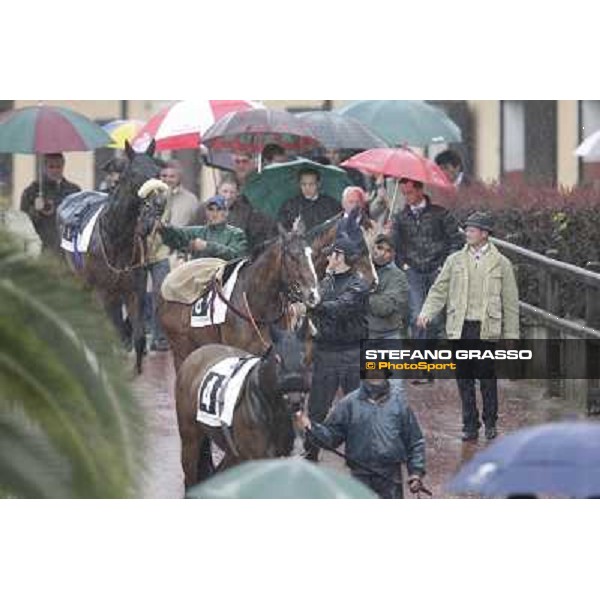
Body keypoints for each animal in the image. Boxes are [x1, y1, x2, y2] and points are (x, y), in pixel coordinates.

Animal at [60, 142, 162, 376]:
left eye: (158, 171)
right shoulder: (103, 291)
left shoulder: (134, 289)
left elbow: (137, 337)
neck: (116, 238)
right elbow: (114, 335)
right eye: (135, 173)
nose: (158, 204)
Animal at [176, 324, 310, 488]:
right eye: (278, 359)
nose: (295, 400)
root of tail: (194, 355)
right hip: (190, 439)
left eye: (304, 358)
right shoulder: (255, 460)